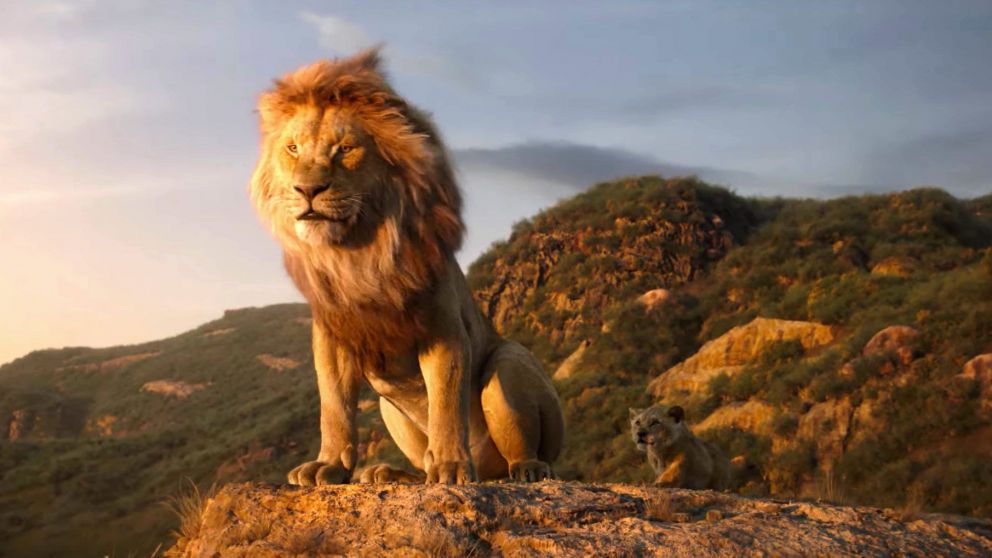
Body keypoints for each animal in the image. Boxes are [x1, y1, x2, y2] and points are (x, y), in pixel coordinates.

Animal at [249, 48, 564, 485]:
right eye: (293, 149)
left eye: (345, 149)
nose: (307, 190)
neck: (358, 253)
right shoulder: (332, 338)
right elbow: (334, 407)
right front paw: (328, 466)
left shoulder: (443, 328)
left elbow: (445, 402)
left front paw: (450, 467)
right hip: (389, 409)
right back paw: (391, 474)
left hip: (510, 363)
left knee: (522, 447)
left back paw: (524, 469)